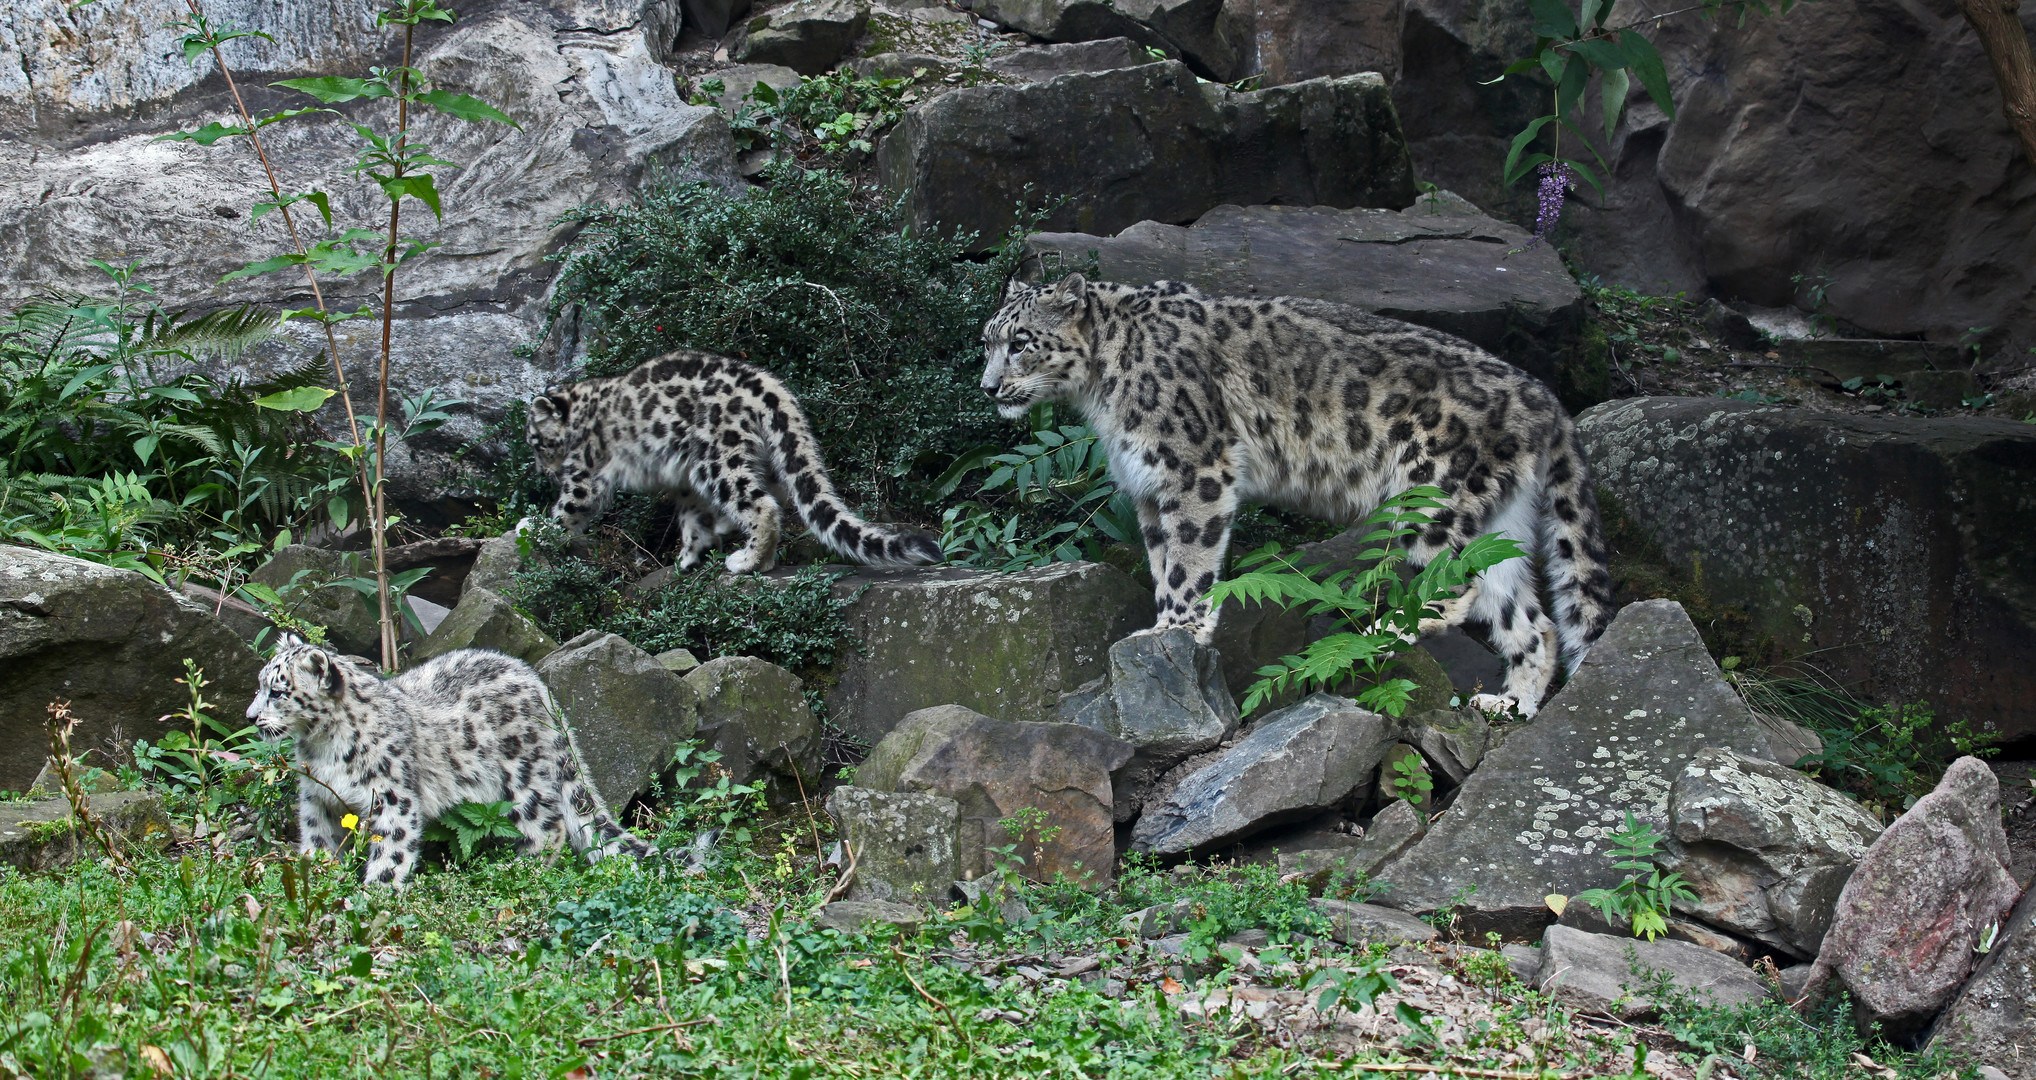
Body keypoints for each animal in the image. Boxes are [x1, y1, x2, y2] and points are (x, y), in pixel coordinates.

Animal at [244, 635, 651, 880]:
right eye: (260, 684)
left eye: (277, 691)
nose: (250, 717)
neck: (323, 747)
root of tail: (541, 687)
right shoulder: (317, 796)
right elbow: (318, 837)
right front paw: (317, 877)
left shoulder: (393, 798)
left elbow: (392, 851)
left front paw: (375, 894)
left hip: (521, 775)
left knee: (549, 826)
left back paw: (516, 873)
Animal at [521, 350, 940, 570]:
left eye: (536, 442)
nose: (543, 472)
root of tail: (769, 386)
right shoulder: (682, 485)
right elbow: (691, 518)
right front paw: (688, 555)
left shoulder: (584, 473)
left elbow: (567, 509)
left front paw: (535, 528)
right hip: (754, 456)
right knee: (776, 493)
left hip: (715, 458)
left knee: (761, 504)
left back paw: (748, 561)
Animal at [977, 275, 1612, 713]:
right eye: (987, 341)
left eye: (1021, 342)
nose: (987, 387)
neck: (1101, 393)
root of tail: (1545, 397)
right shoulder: (1150, 490)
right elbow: (1162, 560)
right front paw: (1160, 628)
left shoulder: (1193, 469)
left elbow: (1189, 561)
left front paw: (1178, 630)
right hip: (1500, 520)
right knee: (1531, 619)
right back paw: (1512, 705)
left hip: (1433, 497)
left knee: (1457, 582)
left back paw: (1389, 631)